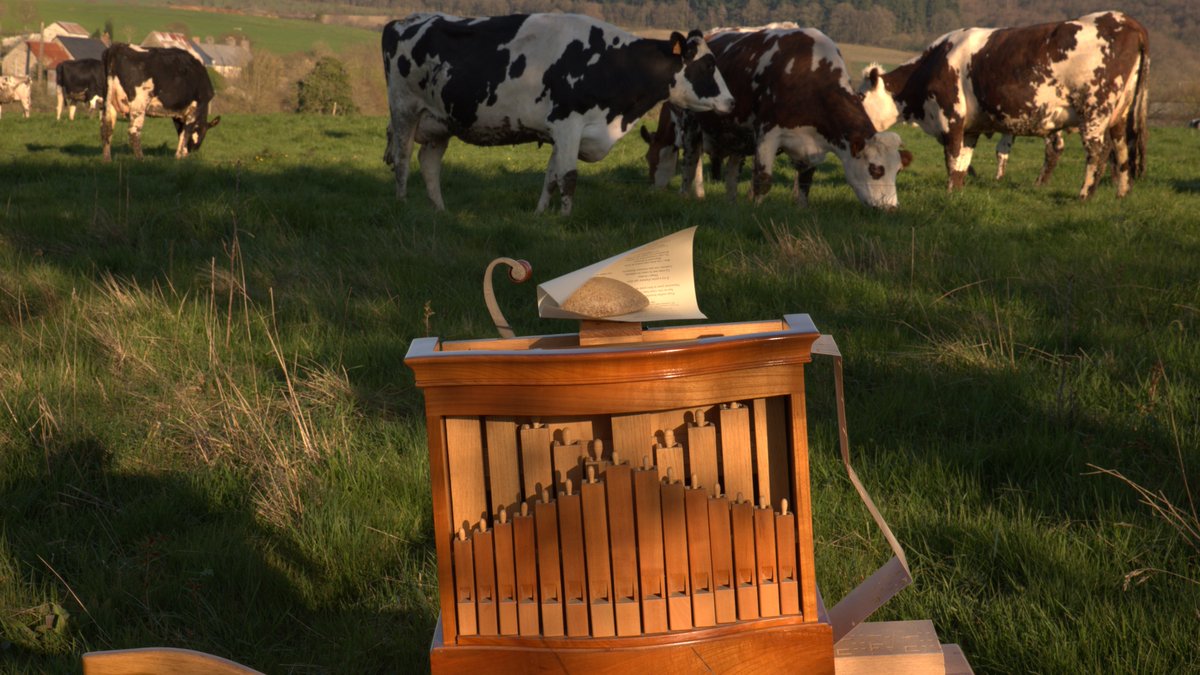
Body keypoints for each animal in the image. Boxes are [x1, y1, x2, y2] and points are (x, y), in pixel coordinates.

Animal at [381, 12, 735, 215]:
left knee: (428, 163)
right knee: (402, 157)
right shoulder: (569, 124)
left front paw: (540, 216)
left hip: (440, 121)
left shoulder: (563, 133)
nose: (732, 102)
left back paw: (440, 211)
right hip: (404, 107)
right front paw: (565, 220)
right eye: (708, 65)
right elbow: (568, 177)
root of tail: (403, 20)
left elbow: (551, 177)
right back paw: (401, 203)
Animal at [647, 24, 912, 210]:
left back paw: (731, 203)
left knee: (732, 173)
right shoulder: (767, 133)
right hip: (691, 124)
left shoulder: (813, 146)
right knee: (691, 163)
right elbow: (763, 180)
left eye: (898, 171)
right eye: (875, 169)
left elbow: (805, 182)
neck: (808, 76)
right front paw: (756, 210)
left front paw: (801, 209)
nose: (891, 208)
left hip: (736, 134)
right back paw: (686, 196)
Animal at [859, 12, 1149, 199]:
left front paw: (949, 191)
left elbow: (951, 159)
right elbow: (962, 162)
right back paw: (1122, 194)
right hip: (1119, 115)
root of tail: (1124, 20)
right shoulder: (970, 128)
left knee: (1099, 152)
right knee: (1122, 149)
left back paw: (1084, 195)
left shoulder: (951, 119)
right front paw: (957, 193)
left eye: (860, 97)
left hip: (1094, 113)